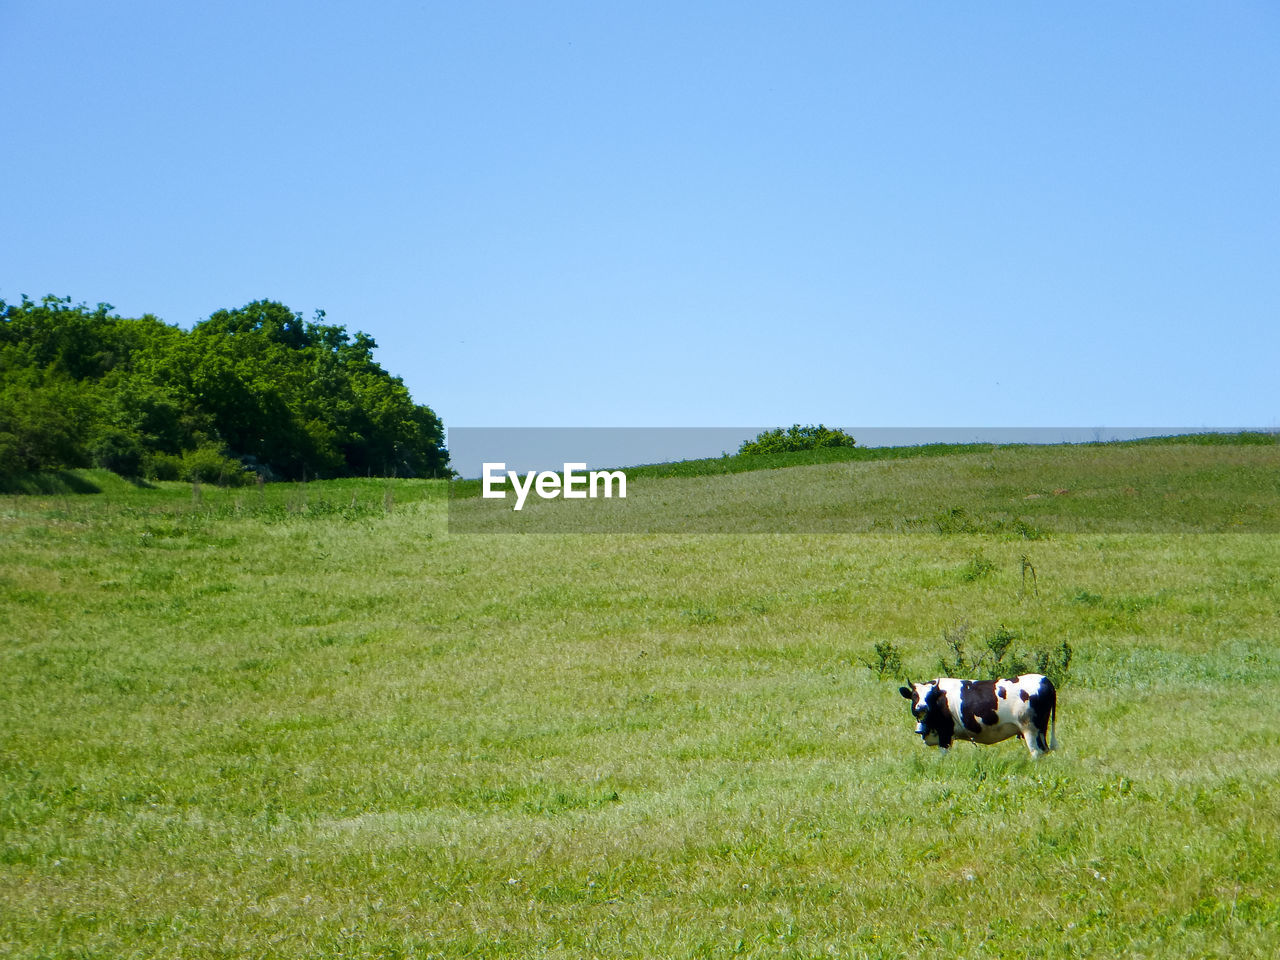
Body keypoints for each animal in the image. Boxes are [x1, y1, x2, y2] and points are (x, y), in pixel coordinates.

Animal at [896, 675, 1054, 757]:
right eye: (915, 695)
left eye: (930, 696)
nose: (921, 707)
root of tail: (1045, 680)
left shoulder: (945, 734)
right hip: (1041, 729)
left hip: (1029, 728)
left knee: (1036, 752)